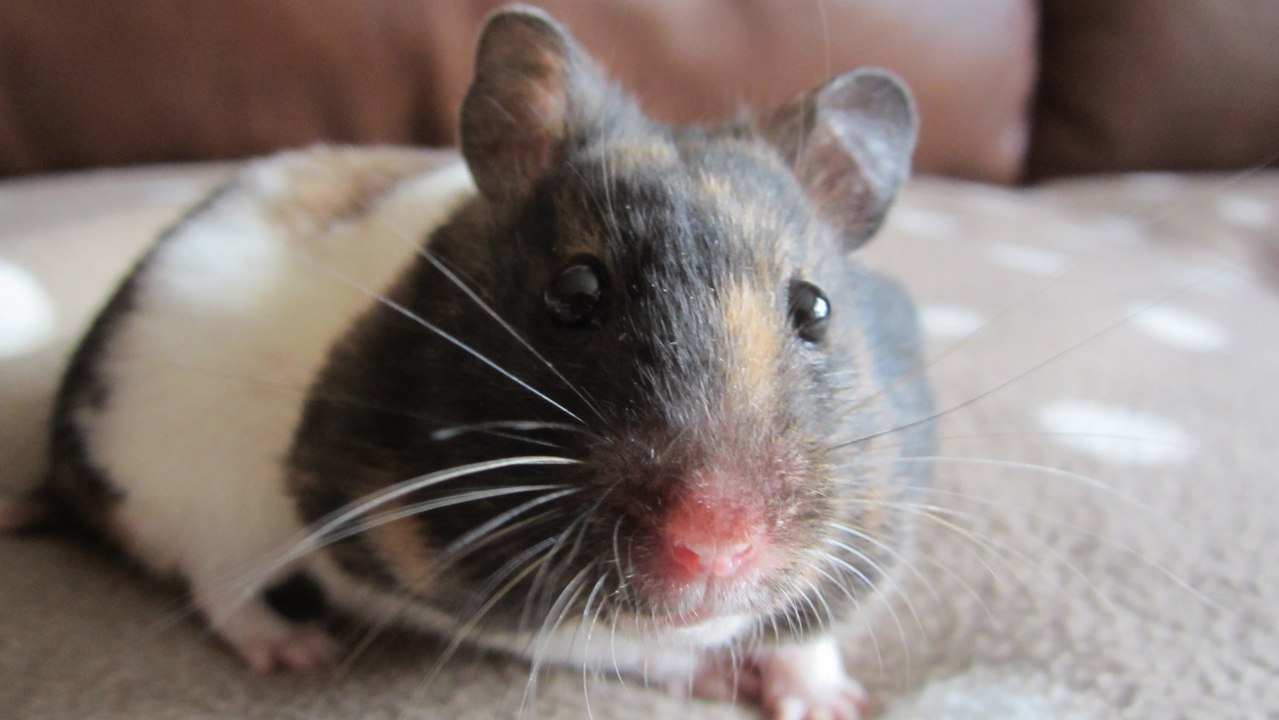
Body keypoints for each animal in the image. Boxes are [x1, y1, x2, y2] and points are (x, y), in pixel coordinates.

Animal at [15, 6, 934, 719]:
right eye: (574, 293)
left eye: (814, 308)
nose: (714, 544)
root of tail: (60, 460)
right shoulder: (439, 577)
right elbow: (618, 648)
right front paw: (715, 677)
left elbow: (807, 635)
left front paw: (830, 704)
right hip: (193, 499)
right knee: (219, 589)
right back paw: (294, 649)